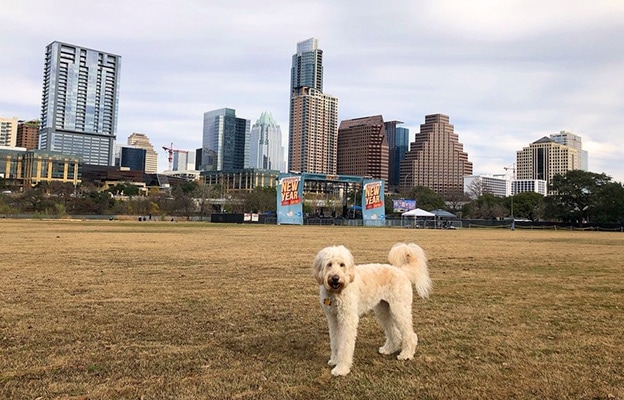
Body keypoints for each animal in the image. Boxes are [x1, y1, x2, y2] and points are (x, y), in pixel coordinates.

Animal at [310, 242, 428, 376]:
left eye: (342, 264)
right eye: (329, 264)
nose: (335, 278)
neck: (337, 292)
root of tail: (401, 271)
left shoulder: (347, 319)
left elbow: (345, 345)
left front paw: (341, 368)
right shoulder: (333, 318)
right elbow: (335, 341)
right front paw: (334, 360)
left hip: (400, 309)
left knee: (410, 334)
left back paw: (406, 354)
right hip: (383, 310)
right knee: (394, 332)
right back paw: (388, 349)